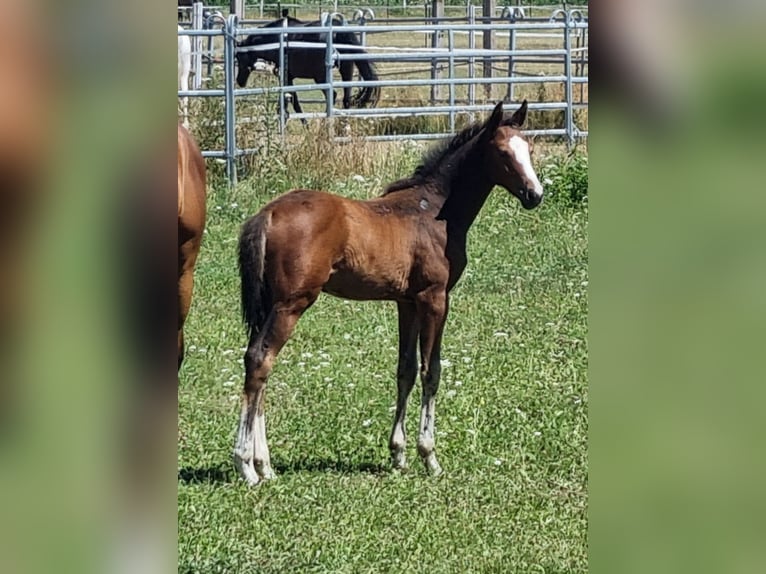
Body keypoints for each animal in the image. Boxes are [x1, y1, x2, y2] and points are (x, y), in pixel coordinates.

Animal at [233, 100, 543, 485]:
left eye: (529, 149)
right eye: (502, 152)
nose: (535, 195)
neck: (435, 211)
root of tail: (269, 213)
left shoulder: (406, 303)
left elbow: (405, 369)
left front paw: (398, 453)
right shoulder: (434, 298)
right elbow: (431, 371)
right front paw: (429, 456)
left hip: (272, 304)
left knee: (259, 364)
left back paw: (265, 464)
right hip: (290, 304)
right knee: (261, 359)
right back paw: (246, 464)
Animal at [235, 15, 380, 115]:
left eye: (240, 57)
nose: (240, 81)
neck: (276, 39)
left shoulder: (286, 77)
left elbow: (294, 103)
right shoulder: (288, 78)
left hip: (321, 77)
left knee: (332, 95)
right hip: (346, 70)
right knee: (346, 99)